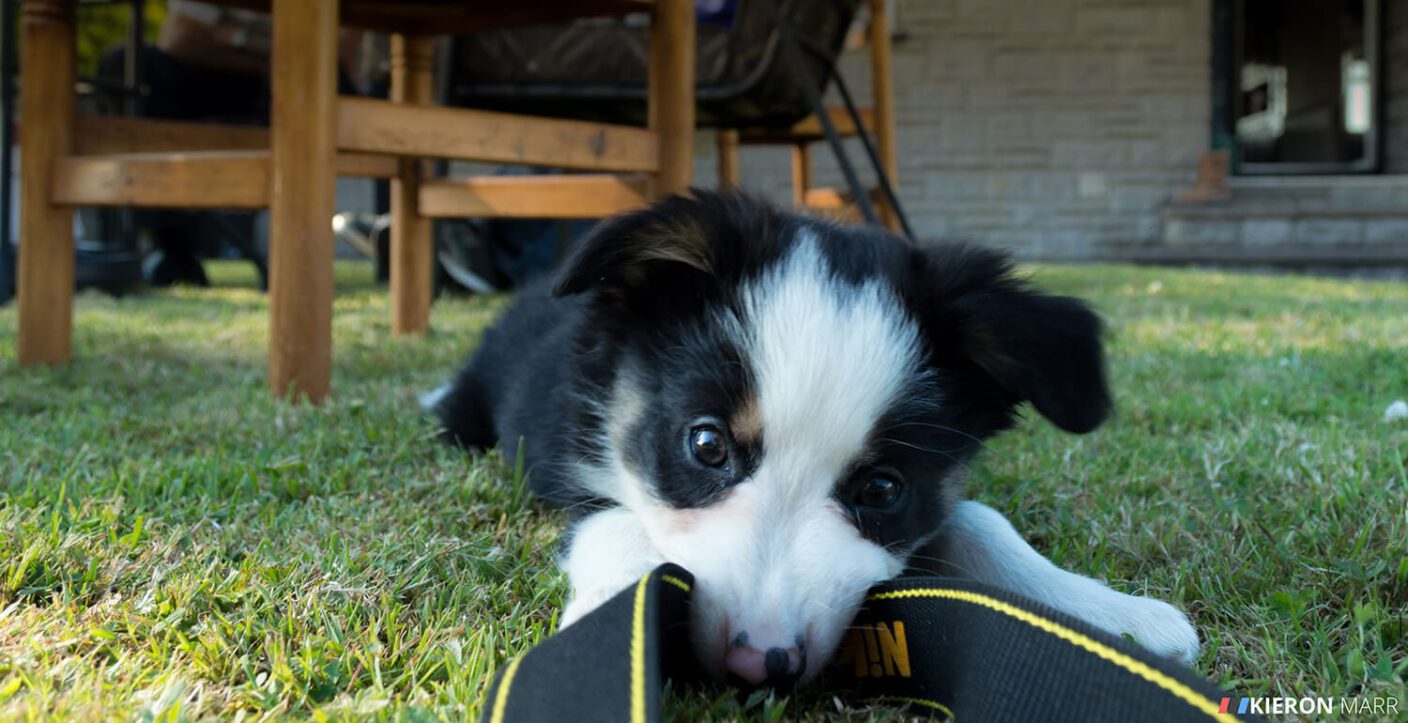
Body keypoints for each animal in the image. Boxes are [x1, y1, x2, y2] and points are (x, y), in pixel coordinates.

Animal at [430, 190, 1199, 682]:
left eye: (883, 488)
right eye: (706, 446)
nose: (759, 663)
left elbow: (979, 518)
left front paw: (1118, 615)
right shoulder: (574, 455)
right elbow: (620, 526)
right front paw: (607, 622)